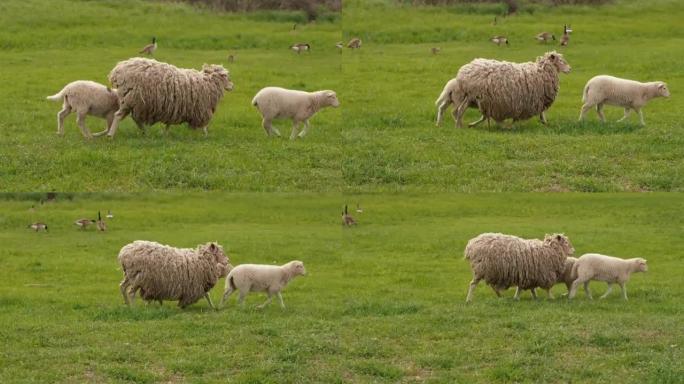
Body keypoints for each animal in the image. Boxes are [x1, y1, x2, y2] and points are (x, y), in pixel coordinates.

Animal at [95, 57, 235, 139]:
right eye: (225, 76)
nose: (232, 86)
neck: (207, 82)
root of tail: (117, 71)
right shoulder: (201, 108)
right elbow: (205, 124)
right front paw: (205, 135)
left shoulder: (176, 108)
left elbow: (169, 123)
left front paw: (165, 134)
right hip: (133, 99)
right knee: (119, 116)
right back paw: (111, 135)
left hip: (132, 101)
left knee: (134, 118)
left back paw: (144, 133)